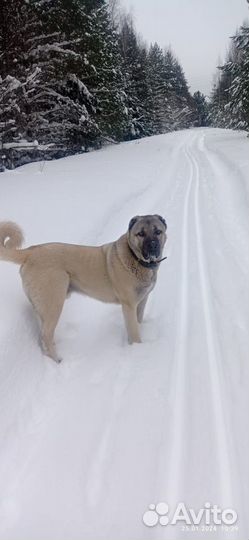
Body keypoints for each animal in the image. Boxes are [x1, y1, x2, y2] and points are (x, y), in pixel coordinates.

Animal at [0, 216, 167, 362]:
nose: (153, 245)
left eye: (158, 231)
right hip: (53, 303)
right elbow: (134, 332)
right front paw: (138, 350)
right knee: (46, 335)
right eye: (141, 234)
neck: (135, 258)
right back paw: (57, 360)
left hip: (41, 307)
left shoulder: (142, 300)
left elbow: (139, 321)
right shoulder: (129, 306)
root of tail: (31, 251)